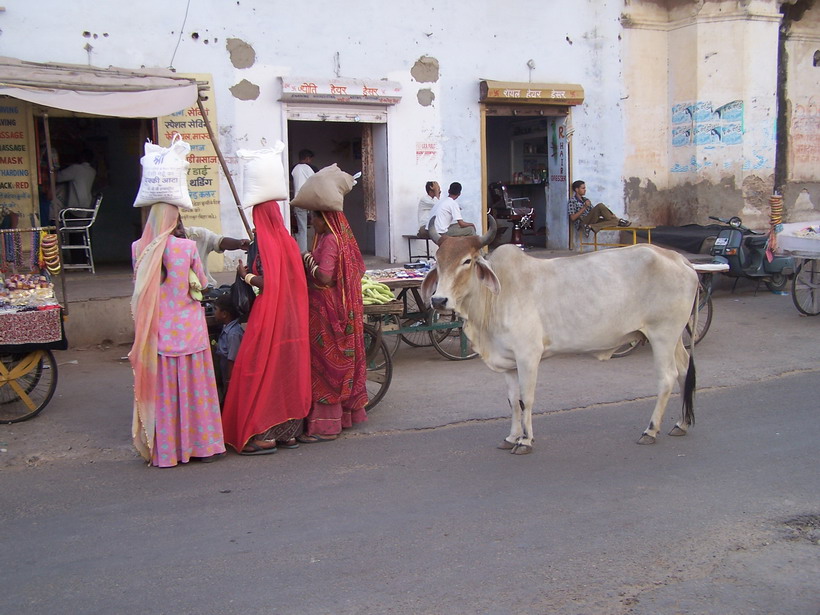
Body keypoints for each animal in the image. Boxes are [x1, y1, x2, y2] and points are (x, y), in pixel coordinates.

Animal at [422, 219, 700, 454]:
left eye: (467, 261)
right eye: (437, 259)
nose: (439, 300)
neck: (497, 296)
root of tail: (677, 258)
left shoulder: (528, 356)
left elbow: (526, 399)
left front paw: (525, 440)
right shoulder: (508, 361)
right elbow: (512, 401)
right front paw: (511, 437)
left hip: (662, 335)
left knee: (667, 377)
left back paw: (650, 430)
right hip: (674, 337)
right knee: (684, 370)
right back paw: (681, 424)